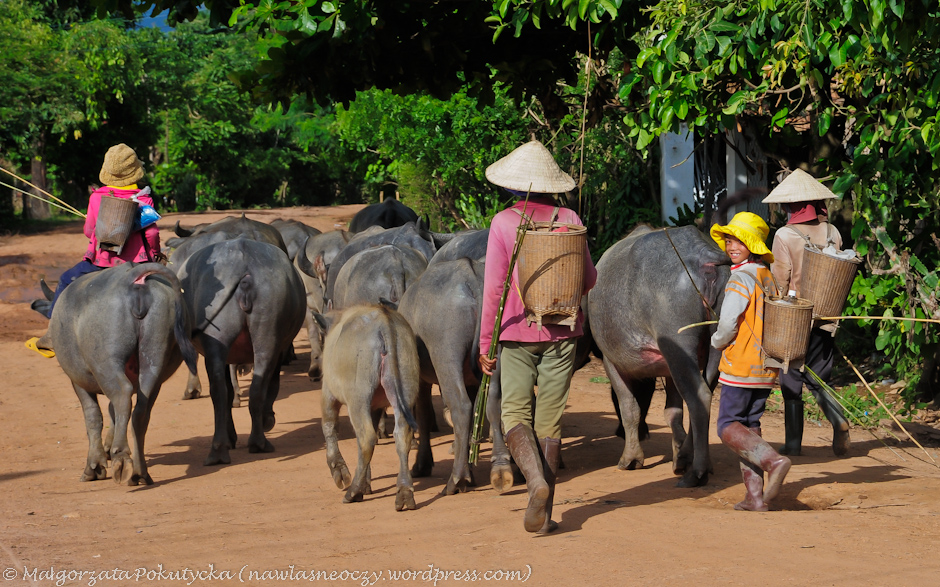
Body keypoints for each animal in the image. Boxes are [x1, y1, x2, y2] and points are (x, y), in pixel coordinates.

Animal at [37, 264, 198, 484]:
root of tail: (133, 277)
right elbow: (113, 413)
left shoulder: (78, 381)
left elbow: (93, 417)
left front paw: (94, 466)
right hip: (155, 357)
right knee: (141, 411)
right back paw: (140, 471)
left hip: (106, 363)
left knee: (122, 395)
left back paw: (121, 457)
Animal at [175, 237, 304, 466]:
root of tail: (244, 264)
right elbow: (272, 385)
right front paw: (266, 420)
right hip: (267, 336)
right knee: (256, 386)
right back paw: (257, 441)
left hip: (225, 340)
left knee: (221, 391)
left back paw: (221, 449)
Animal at [316, 304, 418, 510]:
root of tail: (384, 320)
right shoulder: (375, 407)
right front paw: (366, 483)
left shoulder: (328, 393)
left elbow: (329, 426)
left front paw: (339, 470)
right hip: (405, 384)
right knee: (402, 434)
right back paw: (404, 492)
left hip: (358, 398)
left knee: (366, 438)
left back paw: (353, 491)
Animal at [592, 224, 732, 486]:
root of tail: (706, 258)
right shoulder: (668, 368)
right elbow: (672, 413)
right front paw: (678, 452)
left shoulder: (611, 361)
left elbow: (629, 407)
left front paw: (630, 459)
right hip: (716, 343)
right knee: (703, 392)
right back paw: (687, 458)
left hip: (678, 345)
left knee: (699, 397)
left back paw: (696, 472)